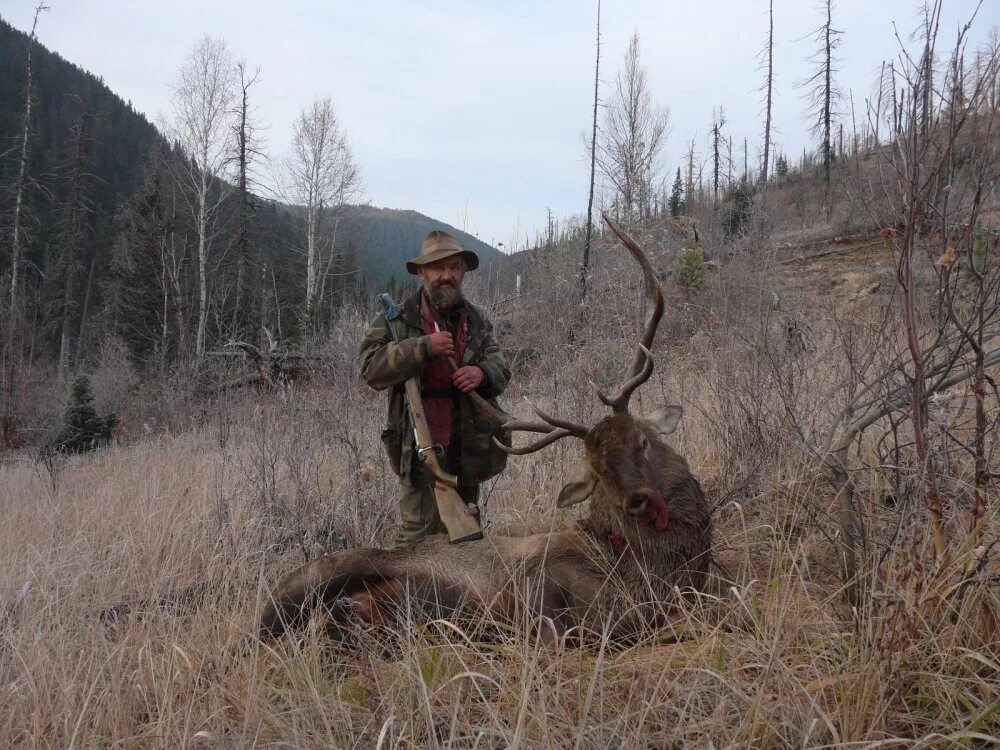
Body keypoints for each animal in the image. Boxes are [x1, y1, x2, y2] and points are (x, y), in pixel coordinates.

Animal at [258, 214, 712, 644]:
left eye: (643, 441)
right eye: (598, 470)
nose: (640, 501)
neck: (638, 575)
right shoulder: (536, 581)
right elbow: (549, 626)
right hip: (318, 579)